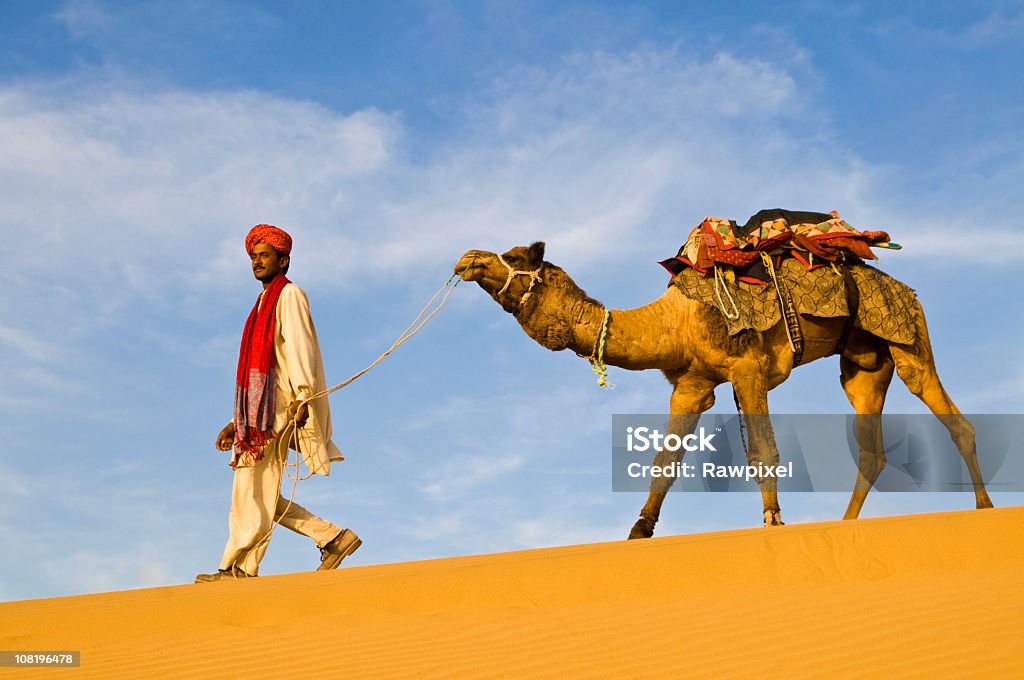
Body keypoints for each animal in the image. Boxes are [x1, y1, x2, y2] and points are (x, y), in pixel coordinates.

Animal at [454, 238, 991, 536]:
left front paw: (774, 522)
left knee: (952, 417)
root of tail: (906, 290)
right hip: (862, 364)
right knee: (872, 448)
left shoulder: (746, 367)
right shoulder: (692, 385)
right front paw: (638, 531)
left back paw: (985, 509)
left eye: (511, 256)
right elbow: (665, 460)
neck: (675, 322)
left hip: (908, 335)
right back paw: (846, 525)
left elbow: (762, 450)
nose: (466, 259)